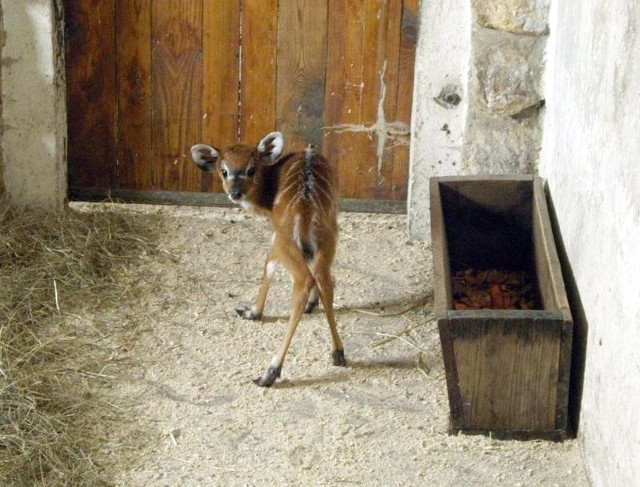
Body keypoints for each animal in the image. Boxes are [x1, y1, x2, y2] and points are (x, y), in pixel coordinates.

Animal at [190, 132, 344, 386]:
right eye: (224, 170)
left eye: (251, 169)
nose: (235, 193)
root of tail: (306, 208)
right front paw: (313, 304)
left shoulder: (275, 234)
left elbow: (268, 265)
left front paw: (252, 312)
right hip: (329, 236)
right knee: (325, 279)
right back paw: (338, 352)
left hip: (285, 240)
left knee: (303, 280)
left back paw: (270, 372)